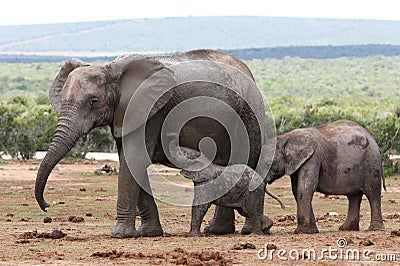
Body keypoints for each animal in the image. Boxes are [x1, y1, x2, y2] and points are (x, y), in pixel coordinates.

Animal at [33, 49, 266, 237]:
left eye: (94, 101)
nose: (47, 205)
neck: (113, 71)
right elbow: (132, 161)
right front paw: (149, 233)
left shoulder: (152, 111)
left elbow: (134, 160)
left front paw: (120, 235)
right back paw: (219, 230)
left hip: (249, 114)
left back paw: (249, 230)